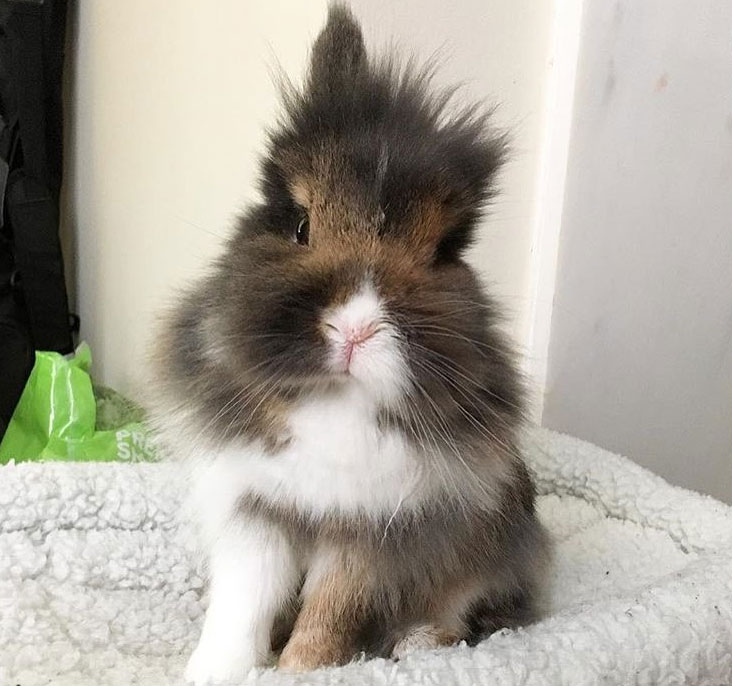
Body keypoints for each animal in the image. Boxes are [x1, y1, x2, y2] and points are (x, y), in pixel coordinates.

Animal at [149, 5, 548, 686]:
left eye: (443, 253)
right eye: (299, 224)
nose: (355, 328)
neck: (334, 406)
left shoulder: (375, 535)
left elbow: (330, 614)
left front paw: (299, 670)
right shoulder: (256, 513)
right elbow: (241, 607)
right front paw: (213, 671)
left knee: (463, 612)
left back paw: (418, 643)